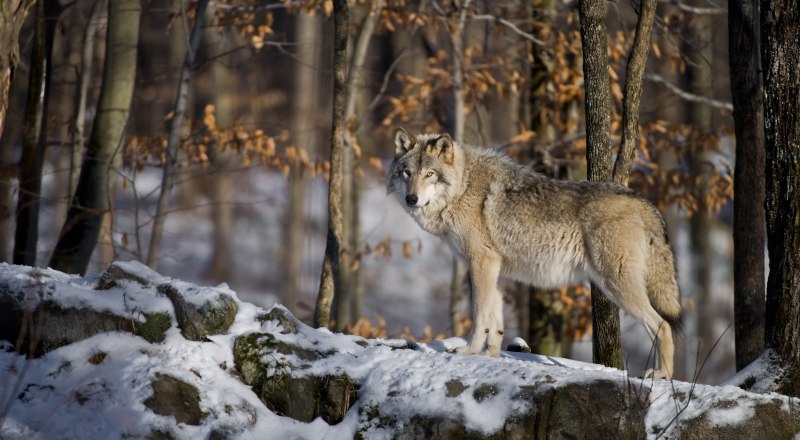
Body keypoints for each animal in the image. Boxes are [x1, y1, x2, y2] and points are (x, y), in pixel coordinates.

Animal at [386, 126, 680, 378]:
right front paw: (491, 358)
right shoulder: (493, 269)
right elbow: (494, 320)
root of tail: (642, 201)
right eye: (407, 173)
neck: (462, 187)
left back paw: (662, 375)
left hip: (615, 284)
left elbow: (479, 314)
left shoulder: (481, 262)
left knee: (663, 325)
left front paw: (469, 351)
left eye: (429, 174)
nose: (412, 199)